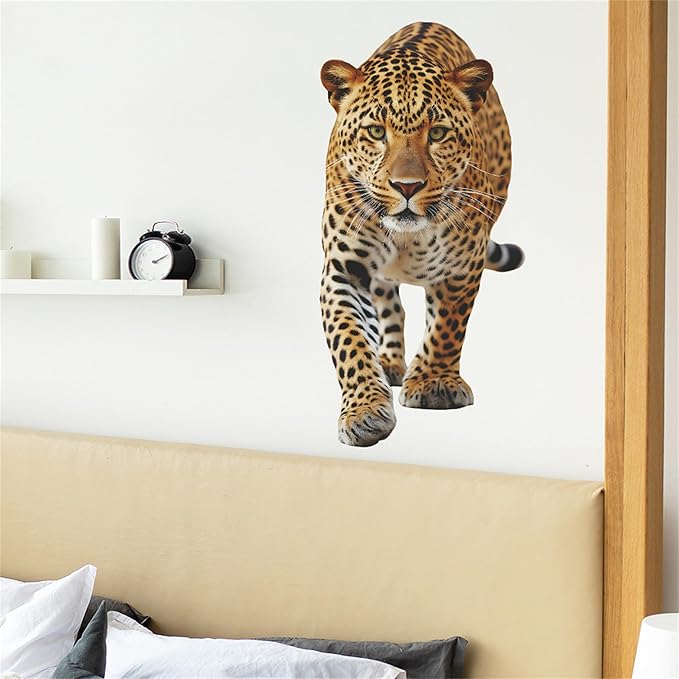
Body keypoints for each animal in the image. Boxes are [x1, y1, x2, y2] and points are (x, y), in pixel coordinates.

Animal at [320, 22, 524, 447]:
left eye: (439, 132)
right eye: (376, 131)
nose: (407, 186)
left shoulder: (463, 265)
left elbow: (447, 326)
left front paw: (434, 384)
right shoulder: (344, 270)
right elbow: (350, 341)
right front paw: (365, 411)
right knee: (389, 306)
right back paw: (389, 362)